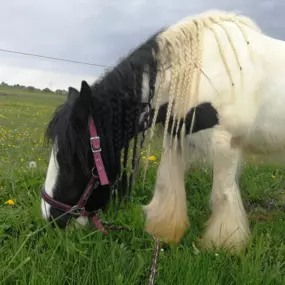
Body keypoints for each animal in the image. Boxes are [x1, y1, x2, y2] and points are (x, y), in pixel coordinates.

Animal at [39, 9, 284, 253]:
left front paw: (224, 245)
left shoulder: (226, 142)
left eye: (71, 158)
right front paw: (164, 230)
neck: (200, 71)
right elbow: (167, 182)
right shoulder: (176, 135)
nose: (51, 218)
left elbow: (223, 194)